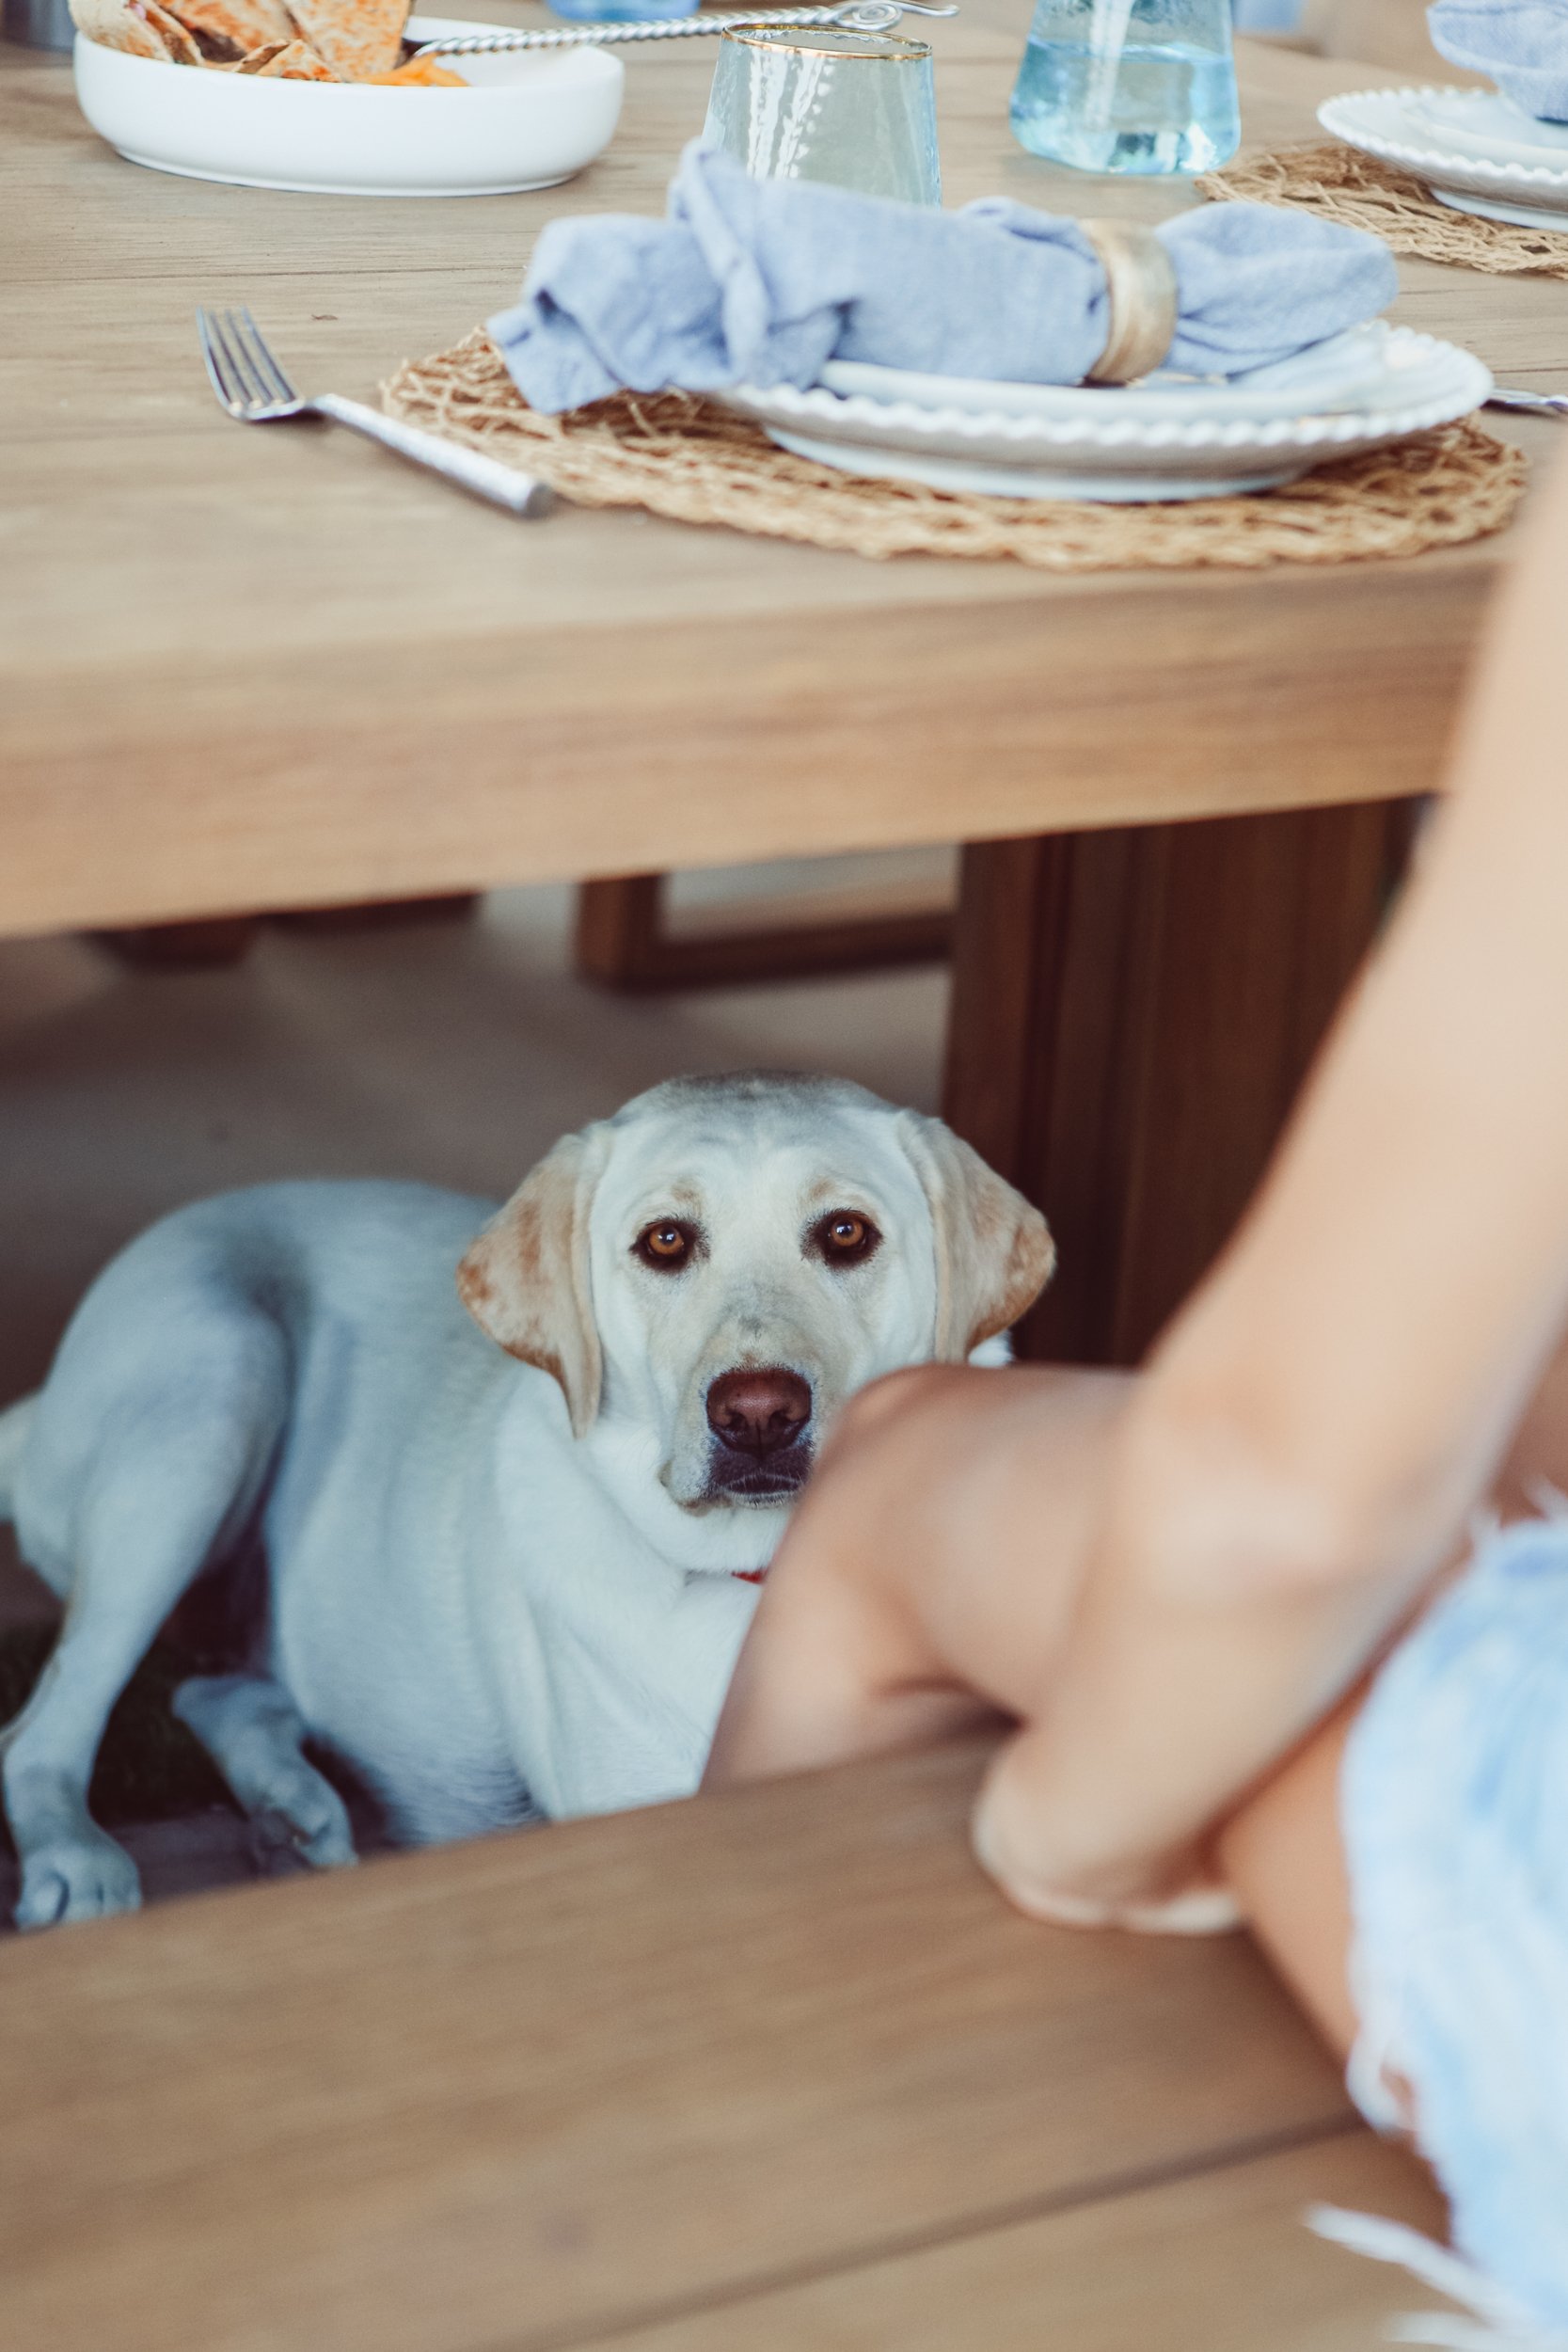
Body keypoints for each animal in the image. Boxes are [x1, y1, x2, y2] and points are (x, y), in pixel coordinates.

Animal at [3, 1077, 1053, 1929]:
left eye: (845, 1232)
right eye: (665, 1241)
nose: (757, 1414)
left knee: (214, 1690)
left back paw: (287, 1815)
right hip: (215, 1386)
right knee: (43, 1728)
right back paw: (83, 1863)